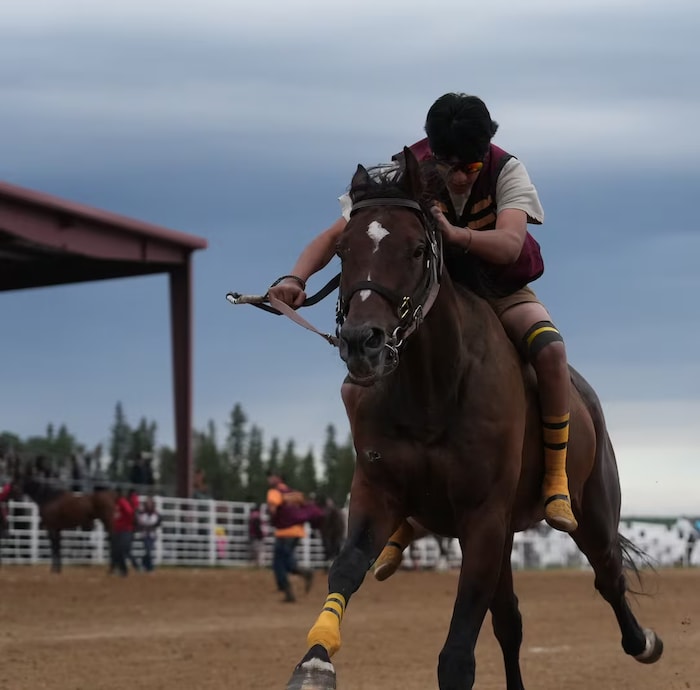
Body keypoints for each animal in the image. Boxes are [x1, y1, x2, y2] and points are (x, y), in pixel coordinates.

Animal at [284, 149, 662, 690]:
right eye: (341, 249)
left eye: (418, 249)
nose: (361, 342)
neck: (433, 393)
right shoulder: (378, 489)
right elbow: (348, 566)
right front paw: (315, 659)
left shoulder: (484, 518)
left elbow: (459, 653)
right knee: (510, 621)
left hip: (591, 511)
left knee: (608, 576)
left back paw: (643, 639)